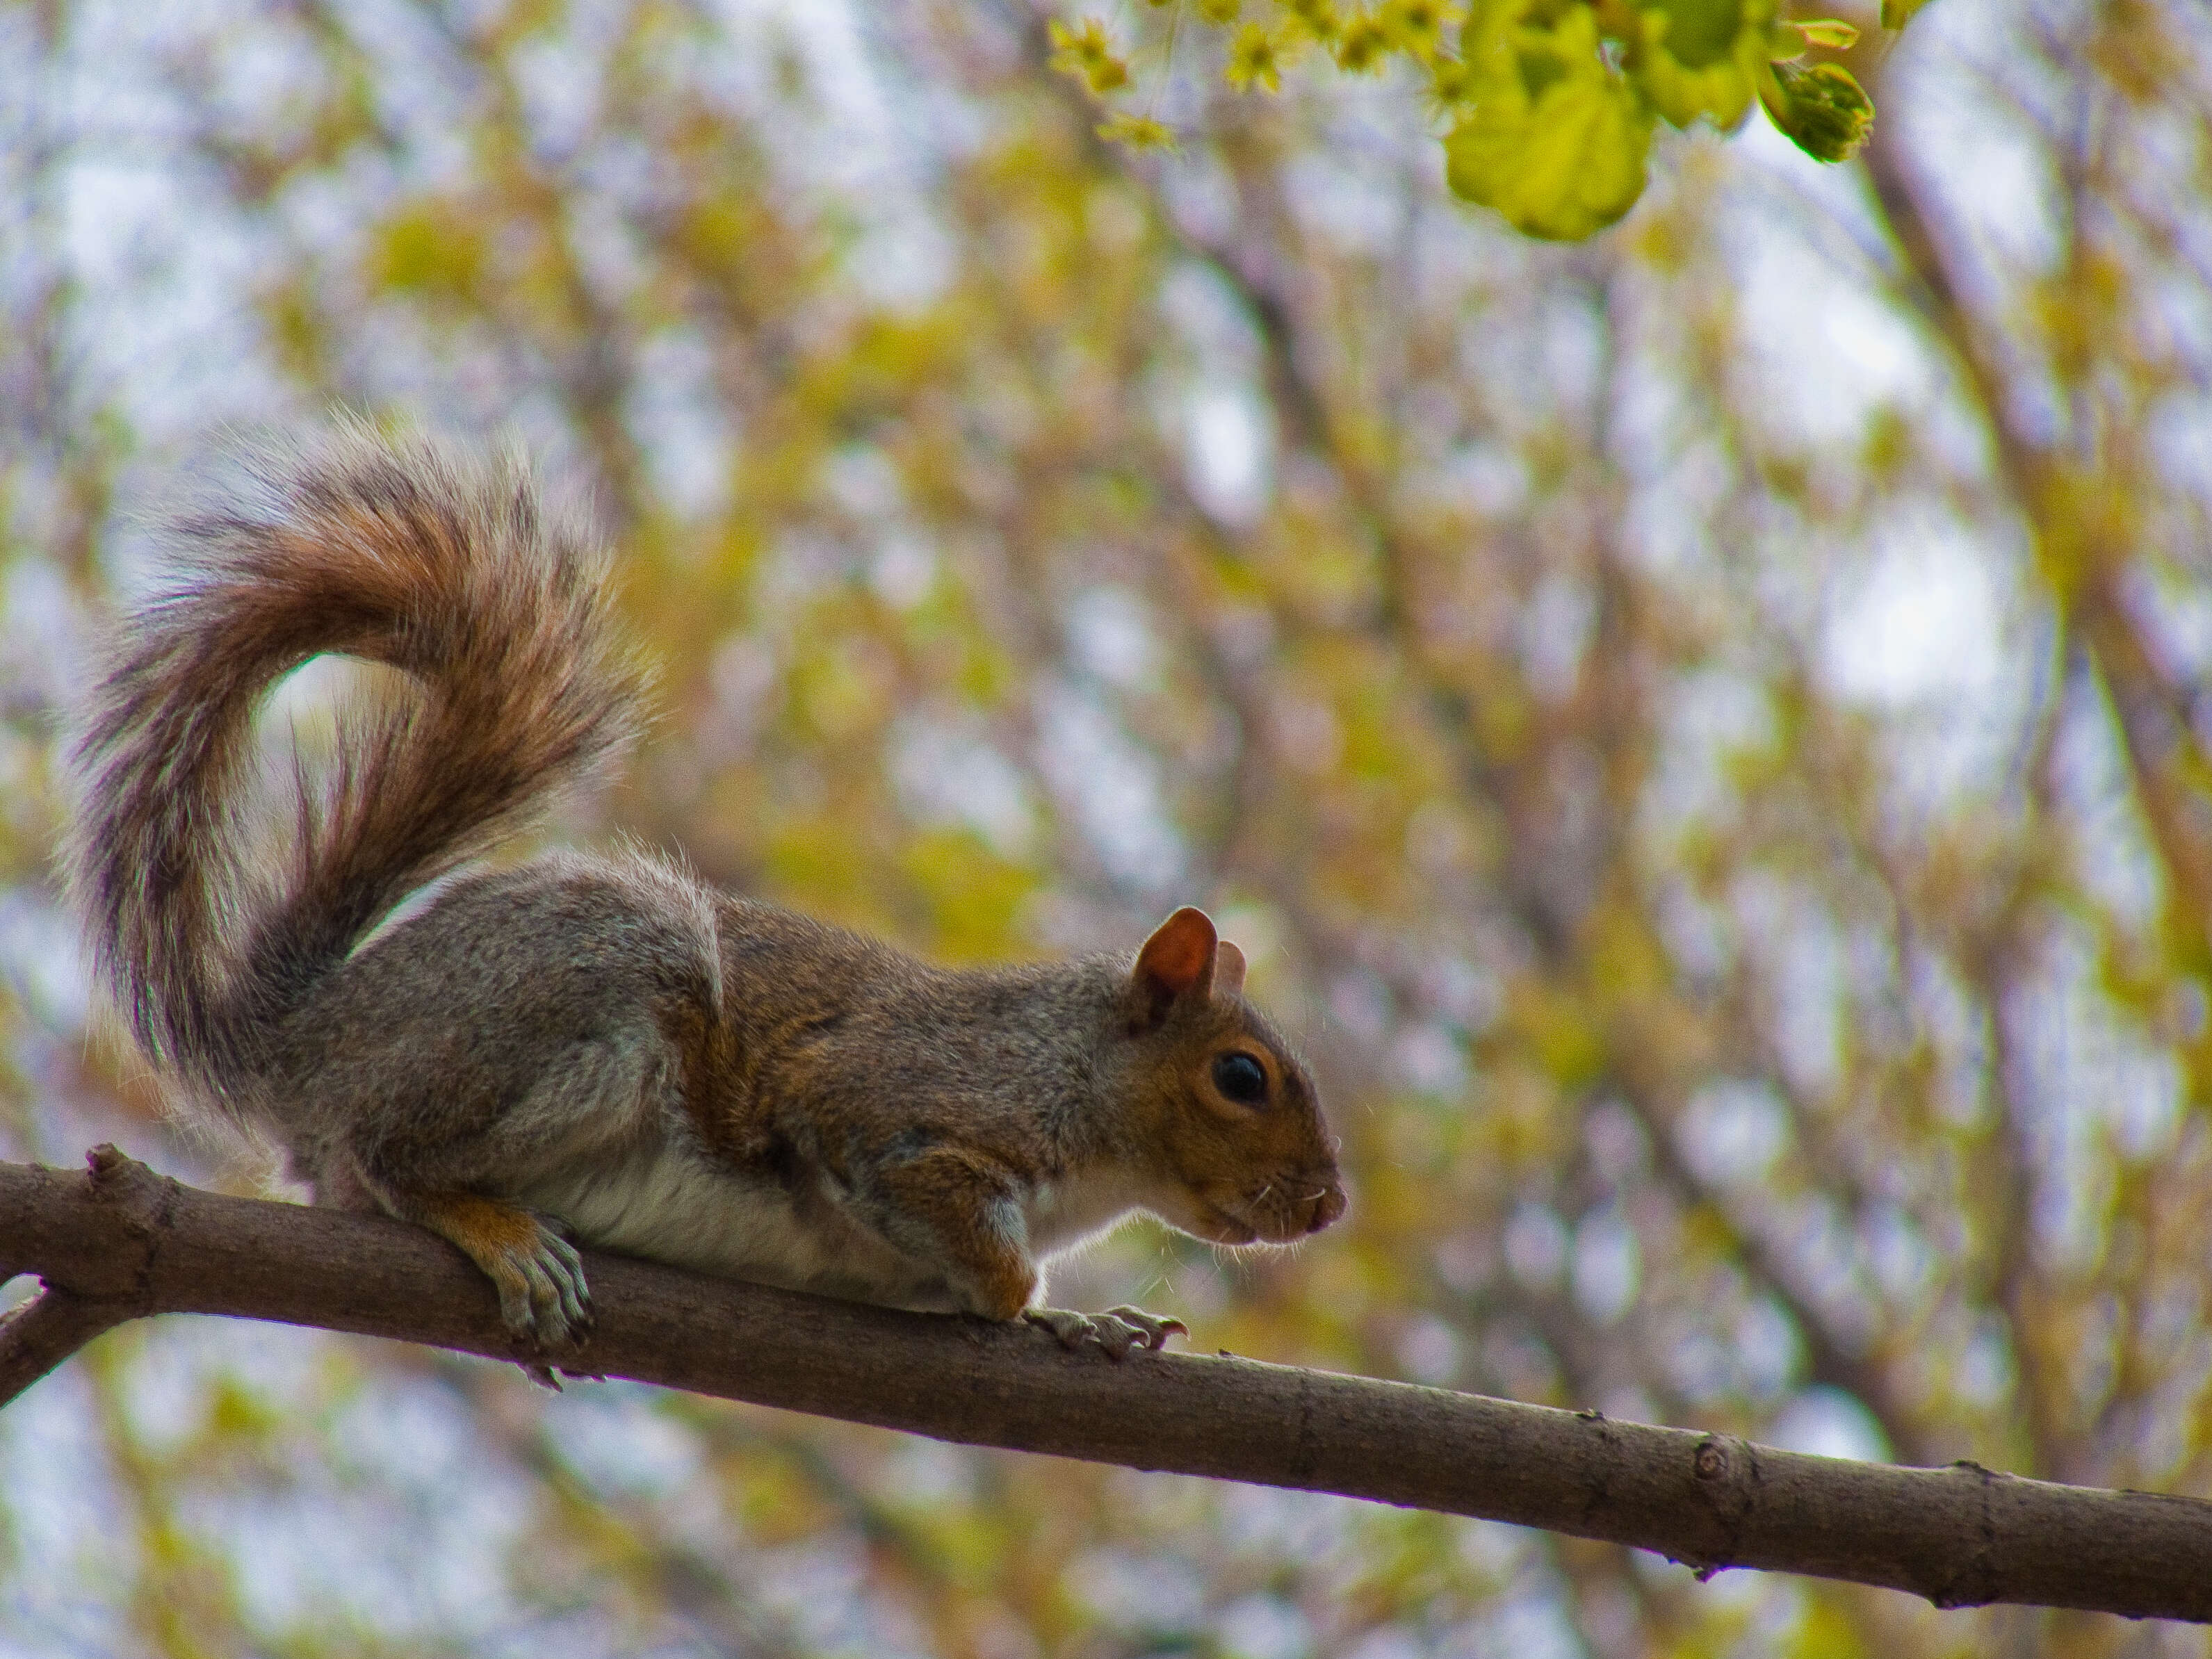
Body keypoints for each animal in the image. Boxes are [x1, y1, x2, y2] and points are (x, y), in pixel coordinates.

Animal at [65, 425, 1344, 1362]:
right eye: (1241, 1077)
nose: (1328, 1209)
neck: (1076, 1087)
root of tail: (310, 1037)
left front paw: (1078, 1321)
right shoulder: (887, 1104)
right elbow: (952, 1218)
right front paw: (1025, 1289)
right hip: (577, 998)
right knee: (384, 1158)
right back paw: (498, 1230)